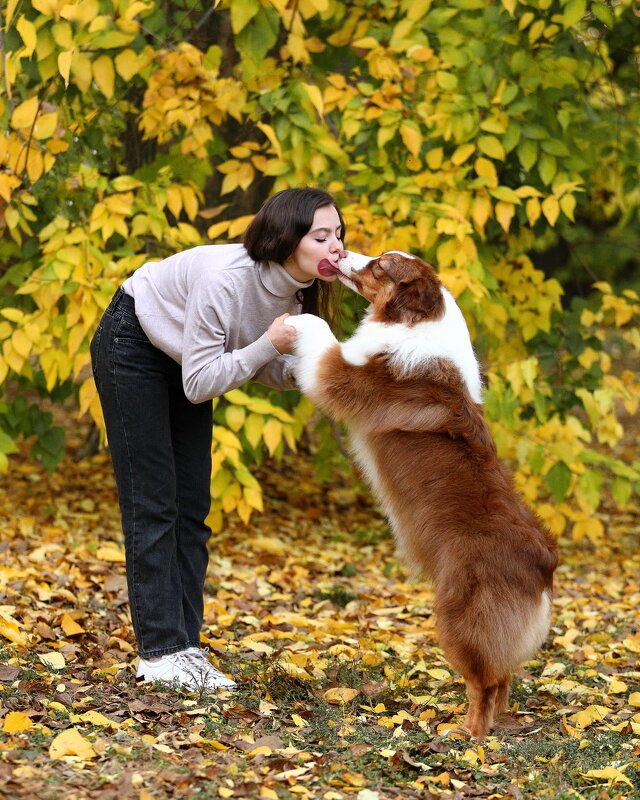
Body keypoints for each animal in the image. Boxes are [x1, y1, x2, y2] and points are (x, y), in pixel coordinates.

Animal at [288, 250, 556, 736]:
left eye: (379, 266)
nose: (341, 253)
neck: (418, 320)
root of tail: (543, 561)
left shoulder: (344, 374)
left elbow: (323, 341)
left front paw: (295, 320)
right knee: (502, 676)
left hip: (461, 615)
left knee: (483, 680)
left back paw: (467, 733)